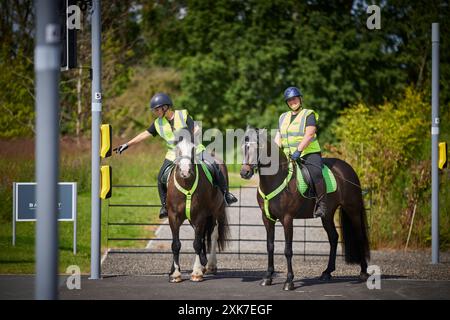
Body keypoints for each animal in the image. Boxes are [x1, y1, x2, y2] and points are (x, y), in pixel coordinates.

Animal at [166, 139, 230, 282]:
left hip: (215, 213)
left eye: (193, 150)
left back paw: (210, 265)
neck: (186, 185)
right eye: (178, 150)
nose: (185, 171)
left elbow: (196, 244)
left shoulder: (200, 216)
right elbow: (176, 244)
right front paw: (176, 273)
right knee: (202, 236)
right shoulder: (173, 217)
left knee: (212, 235)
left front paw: (196, 272)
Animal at [239, 127, 370, 290]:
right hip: (327, 215)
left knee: (359, 237)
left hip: (352, 210)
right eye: (243, 147)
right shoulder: (267, 218)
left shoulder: (287, 219)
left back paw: (363, 273)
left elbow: (288, 250)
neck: (277, 178)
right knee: (333, 237)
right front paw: (268, 277)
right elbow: (270, 246)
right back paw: (327, 272)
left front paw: (289, 281)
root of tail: (347, 168)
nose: (244, 172)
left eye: (259, 147)